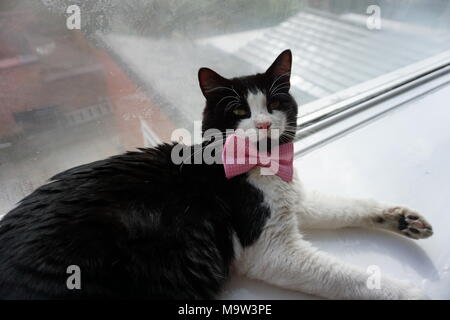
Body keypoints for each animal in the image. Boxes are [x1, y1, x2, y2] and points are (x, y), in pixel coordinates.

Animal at [0, 48, 432, 298]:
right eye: (240, 110)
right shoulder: (272, 250)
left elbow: (346, 205)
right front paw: (411, 292)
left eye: (275, 103)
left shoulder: (295, 199)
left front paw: (401, 218)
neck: (264, 168)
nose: (262, 124)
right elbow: (349, 277)